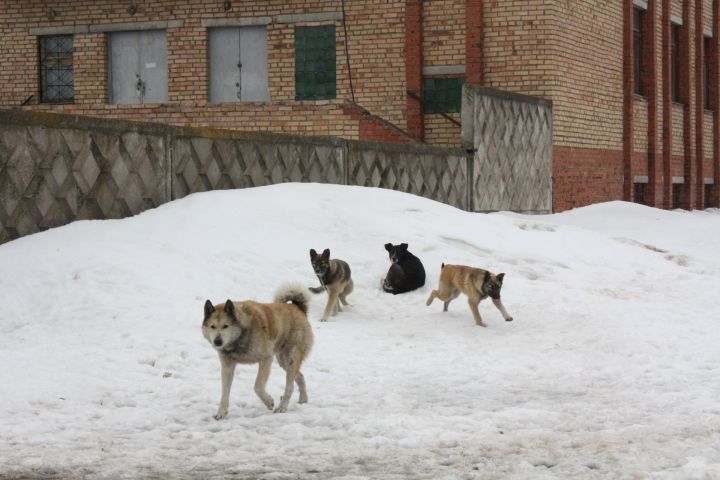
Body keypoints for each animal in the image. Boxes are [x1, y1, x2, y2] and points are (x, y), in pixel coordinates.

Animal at [202, 284, 316, 418]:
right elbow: (225, 393)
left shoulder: (266, 358)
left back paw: (282, 407)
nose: (217, 342)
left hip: (291, 358)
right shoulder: (227, 367)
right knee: (300, 377)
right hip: (283, 361)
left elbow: (258, 386)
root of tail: (297, 307)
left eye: (226, 326)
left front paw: (269, 402)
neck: (240, 337)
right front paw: (221, 413)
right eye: (212, 326)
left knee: (290, 386)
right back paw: (303, 399)